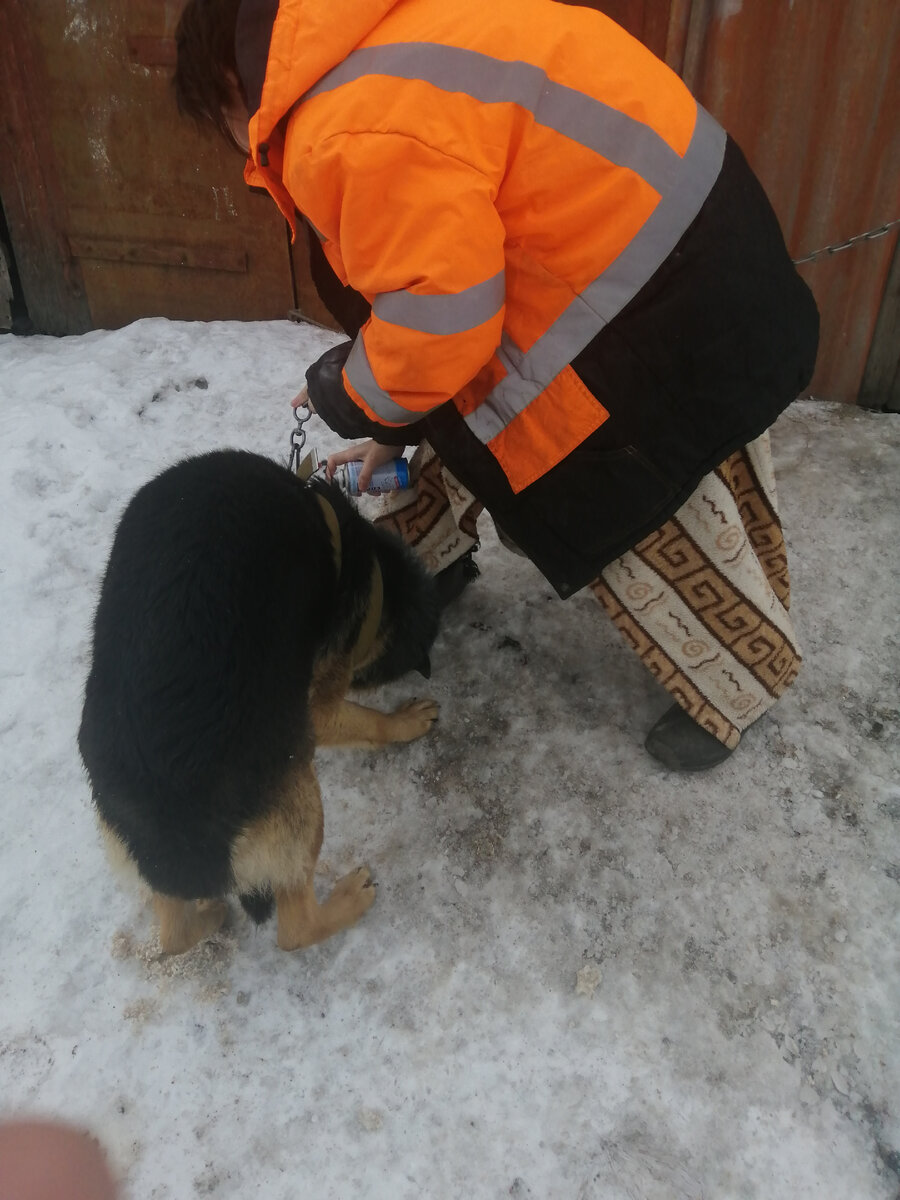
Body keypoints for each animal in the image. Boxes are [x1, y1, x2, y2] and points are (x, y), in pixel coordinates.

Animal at [79, 451, 439, 955]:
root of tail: (176, 829)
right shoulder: (316, 705)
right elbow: (366, 721)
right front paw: (402, 722)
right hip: (300, 793)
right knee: (294, 929)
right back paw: (346, 900)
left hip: (141, 849)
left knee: (172, 935)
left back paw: (206, 917)